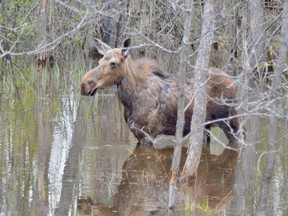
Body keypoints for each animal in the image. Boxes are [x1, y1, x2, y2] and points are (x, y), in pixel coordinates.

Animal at [80, 38, 240, 148]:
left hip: (231, 123)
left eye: (113, 63)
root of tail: (234, 82)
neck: (129, 99)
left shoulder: (147, 135)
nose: (84, 84)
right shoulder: (137, 134)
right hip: (206, 127)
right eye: (99, 61)